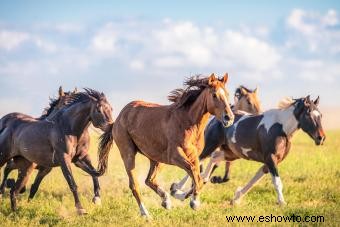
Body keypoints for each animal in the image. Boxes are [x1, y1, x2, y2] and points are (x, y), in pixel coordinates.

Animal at [95, 73, 234, 218]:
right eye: (214, 95)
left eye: (227, 94)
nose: (229, 118)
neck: (188, 123)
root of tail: (118, 119)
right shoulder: (175, 156)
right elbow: (195, 173)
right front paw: (192, 201)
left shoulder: (194, 156)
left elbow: (199, 177)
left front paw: (180, 194)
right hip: (128, 154)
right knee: (134, 185)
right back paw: (146, 214)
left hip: (156, 159)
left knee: (149, 180)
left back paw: (166, 201)